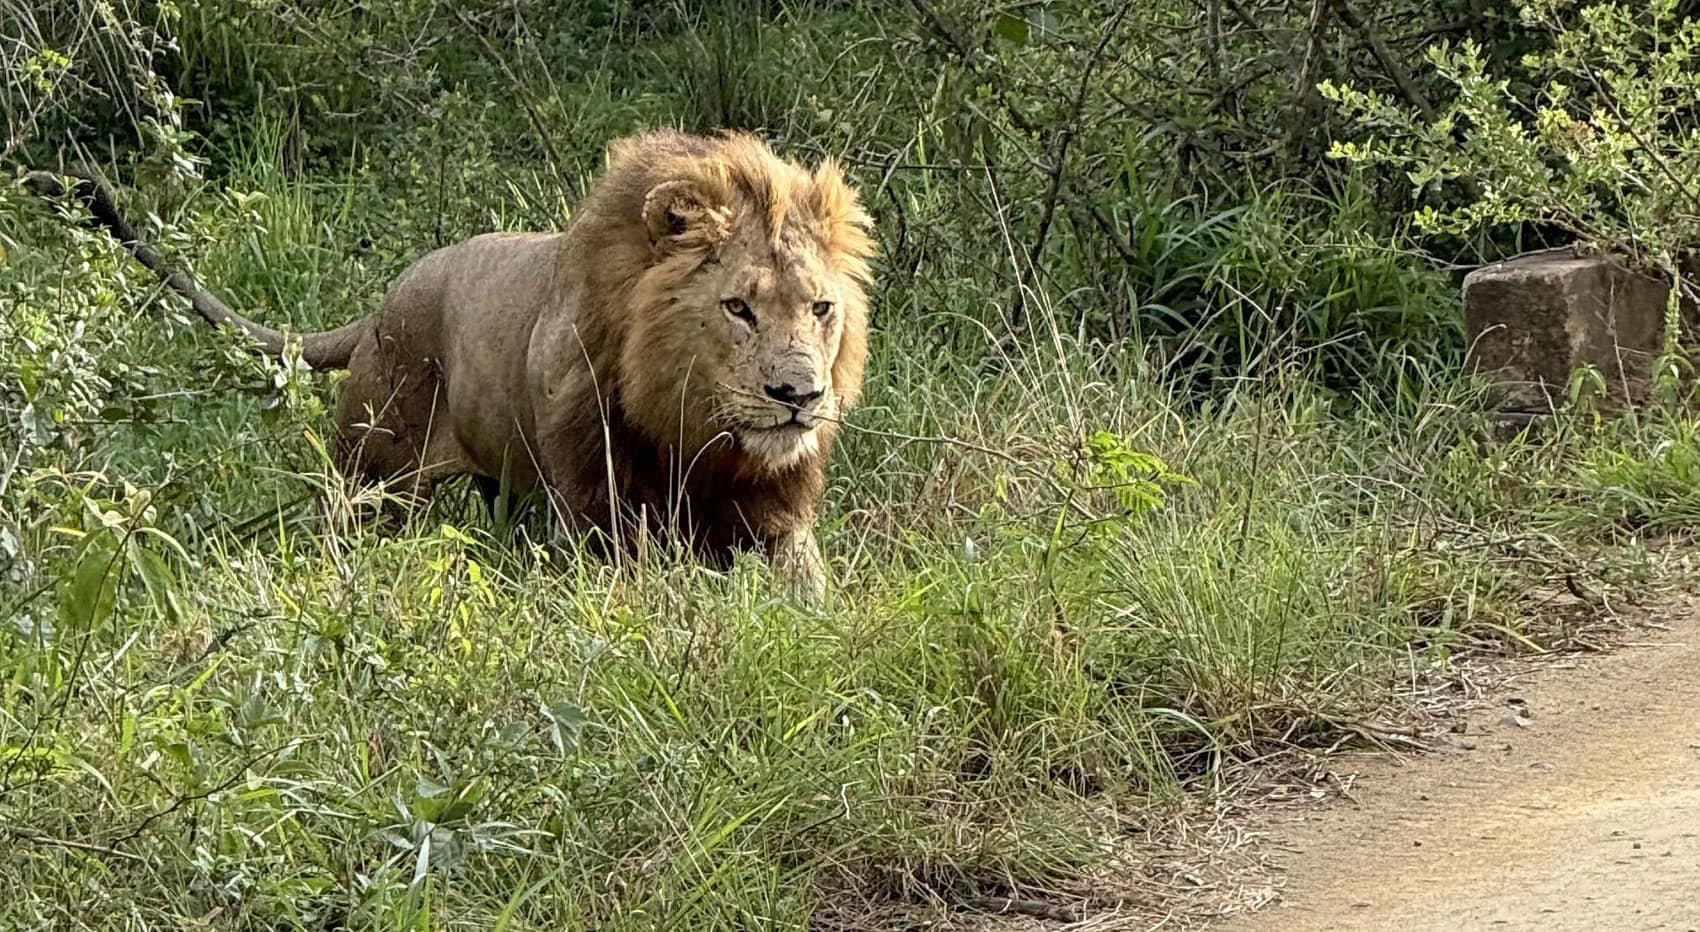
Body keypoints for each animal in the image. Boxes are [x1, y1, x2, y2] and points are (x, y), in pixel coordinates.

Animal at [32, 130, 876, 598]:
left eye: (819, 308)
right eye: (739, 308)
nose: (799, 395)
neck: (693, 429)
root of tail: (385, 303)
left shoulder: (778, 520)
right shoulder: (594, 517)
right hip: (370, 479)